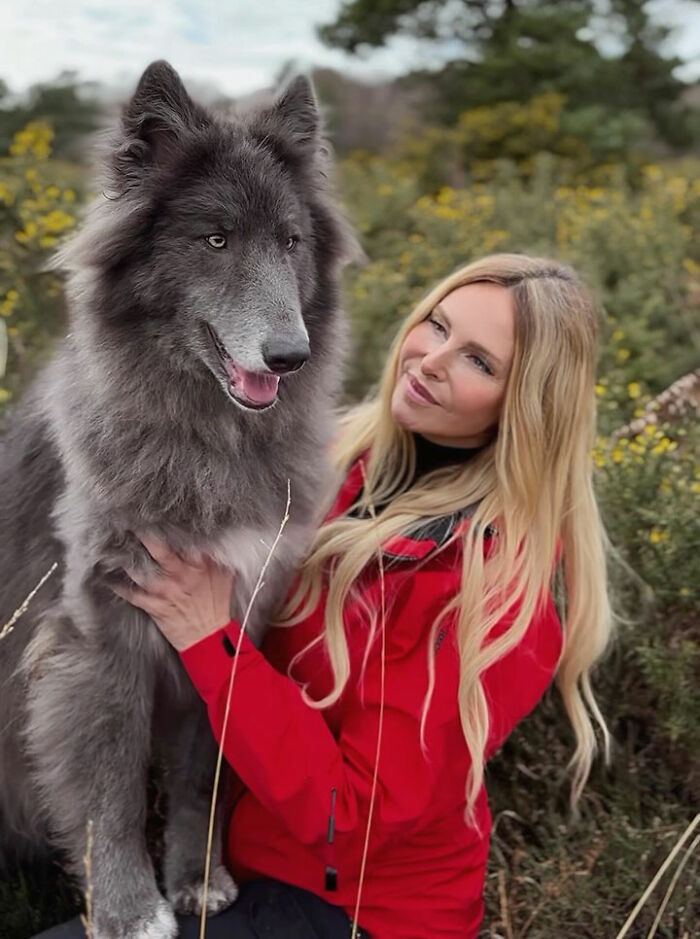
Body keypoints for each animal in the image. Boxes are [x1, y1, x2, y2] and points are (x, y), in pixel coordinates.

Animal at [0, 60, 356, 938]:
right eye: (216, 239)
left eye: (290, 241)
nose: (290, 355)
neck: (208, 438)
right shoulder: (98, 637)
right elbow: (114, 789)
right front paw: (131, 910)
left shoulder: (230, 622)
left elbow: (203, 775)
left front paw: (198, 882)